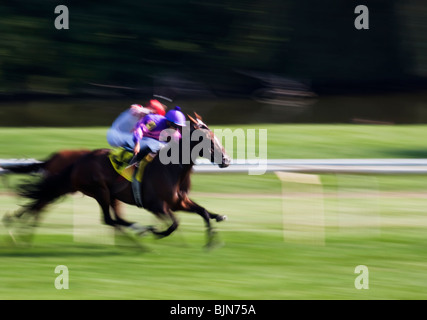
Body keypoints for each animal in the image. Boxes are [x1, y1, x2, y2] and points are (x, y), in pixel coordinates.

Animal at [2, 114, 231, 246]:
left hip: (106, 194)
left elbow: (203, 212)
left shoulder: (178, 202)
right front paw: (156, 233)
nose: (227, 160)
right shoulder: (157, 205)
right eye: (206, 139)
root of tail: (79, 161)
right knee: (108, 219)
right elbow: (174, 224)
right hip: (99, 191)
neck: (171, 169)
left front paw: (213, 239)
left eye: (215, 136)